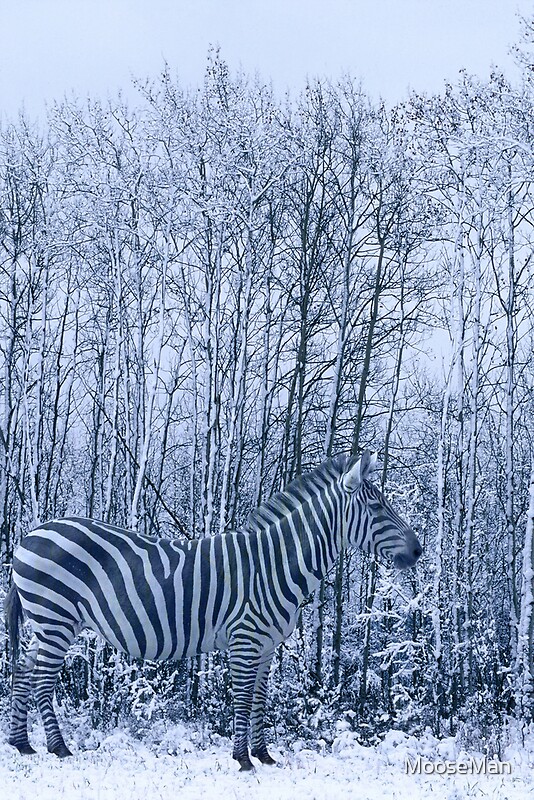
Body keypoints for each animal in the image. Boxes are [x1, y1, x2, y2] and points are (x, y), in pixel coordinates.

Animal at [4, 450, 422, 771]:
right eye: (376, 506)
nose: (418, 551)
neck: (273, 566)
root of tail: (29, 535)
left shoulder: (266, 645)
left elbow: (259, 698)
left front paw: (264, 756)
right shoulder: (246, 639)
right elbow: (242, 697)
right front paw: (243, 760)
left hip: (45, 624)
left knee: (22, 671)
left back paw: (22, 745)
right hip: (56, 618)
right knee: (41, 681)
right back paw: (59, 749)